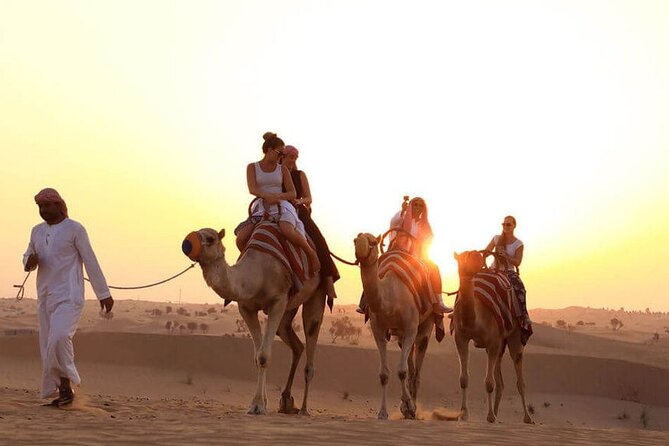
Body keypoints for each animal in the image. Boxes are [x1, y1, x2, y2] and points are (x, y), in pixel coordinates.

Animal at [181, 226, 324, 414]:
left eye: (210, 238)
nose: (187, 243)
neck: (257, 274)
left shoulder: (278, 301)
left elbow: (264, 356)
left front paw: (258, 406)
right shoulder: (246, 308)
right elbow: (257, 358)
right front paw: (259, 403)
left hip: (316, 293)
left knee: (311, 338)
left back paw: (304, 409)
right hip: (290, 308)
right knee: (295, 342)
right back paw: (286, 401)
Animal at [352, 232, 436, 420]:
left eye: (373, 242)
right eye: (355, 240)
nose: (359, 251)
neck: (390, 297)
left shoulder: (411, 328)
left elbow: (401, 371)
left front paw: (410, 407)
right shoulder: (378, 328)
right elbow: (384, 374)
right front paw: (383, 412)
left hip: (427, 324)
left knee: (417, 369)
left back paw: (413, 407)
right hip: (400, 335)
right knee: (411, 367)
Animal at [448, 251, 532, 426]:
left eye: (476, 257)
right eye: (462, 259)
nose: (474, 267)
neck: (474, 319)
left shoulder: (492, 342)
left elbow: (488, 382)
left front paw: (490, 416)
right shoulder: (461, 338)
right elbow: (464, 378)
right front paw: (463, 414)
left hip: (514, 336)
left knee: (519, 378)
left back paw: (527, 417)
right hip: (500, 345)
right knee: (500, 383)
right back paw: (497, 413)